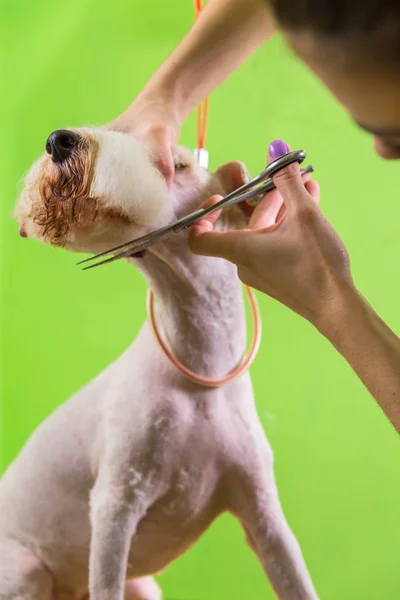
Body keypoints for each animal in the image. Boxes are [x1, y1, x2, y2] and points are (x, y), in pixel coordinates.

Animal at [4, 129, 320, 600]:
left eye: (180, 164)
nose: (60, 140)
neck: (201, 370)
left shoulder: (265, 517)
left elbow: (295, 578)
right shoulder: (116, 507)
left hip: (144, 586)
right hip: (27, 571)